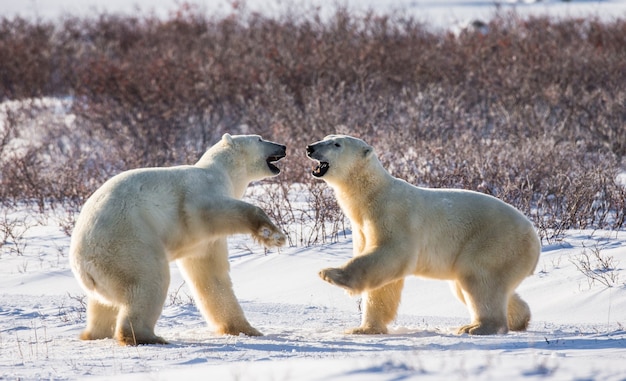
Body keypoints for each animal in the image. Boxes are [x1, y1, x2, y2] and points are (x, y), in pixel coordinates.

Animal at [71, 134, 288, 344]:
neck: (223, 171)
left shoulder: (203, 243)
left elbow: (211, 276)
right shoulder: (200, 193)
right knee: (149, 281)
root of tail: (84, 264)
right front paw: (273, 235)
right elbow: (216, 210)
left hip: (105, 272)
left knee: (102, 305)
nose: (283, 146)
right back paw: (146, 336)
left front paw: (246, 329)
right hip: (126, 243)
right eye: (260, 139)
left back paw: (93, 333)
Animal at [304, 135, 540, 334]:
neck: (371, 196)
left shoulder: (392, 217)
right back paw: (519, 319)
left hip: (495, 241)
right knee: (480, 286)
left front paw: (330, 274)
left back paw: (477, 327)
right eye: (324, 137)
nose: (310, 147)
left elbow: (390, 255)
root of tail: (534, 239)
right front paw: (364, 329)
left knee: (480, 278)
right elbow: (383, 284)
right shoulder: (362, 228)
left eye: (336, 144)